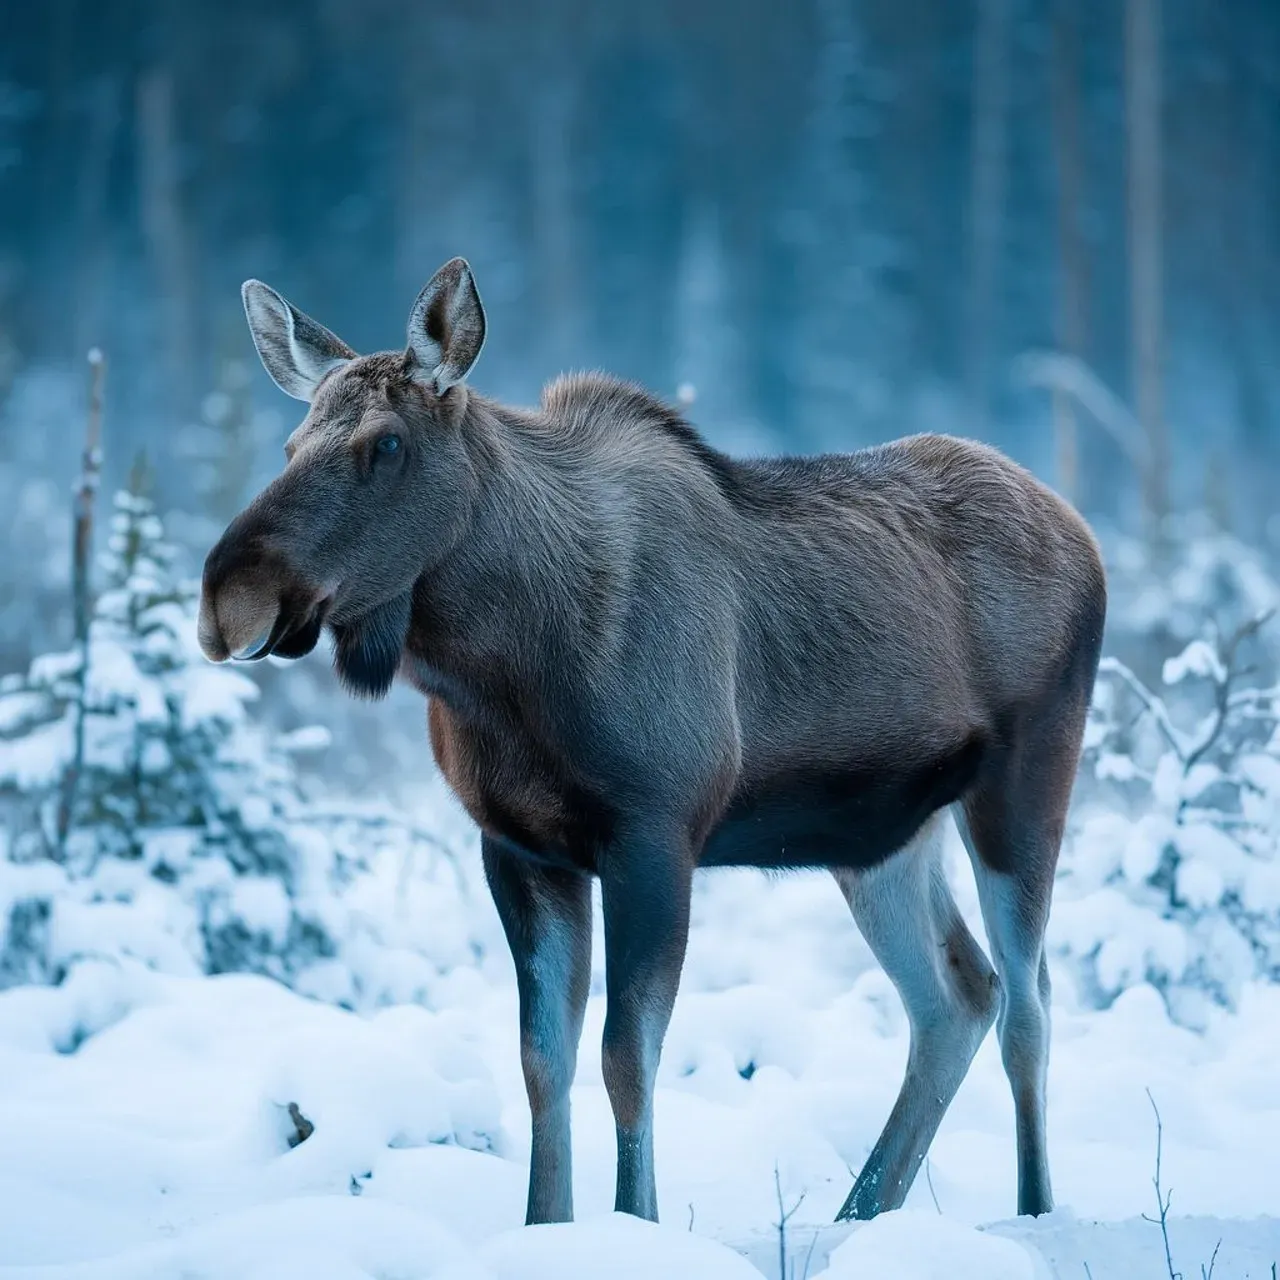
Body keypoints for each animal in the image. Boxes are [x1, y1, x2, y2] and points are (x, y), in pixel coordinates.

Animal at [198, 256, 1107, 1227]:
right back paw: (861, 1213)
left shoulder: (654, 834)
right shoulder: (519, 846)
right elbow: (542, 1061)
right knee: (956, 997)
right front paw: (545, 1226)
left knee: (1027, 1005)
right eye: (292, 446)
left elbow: (626, 1058)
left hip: (1026, 779)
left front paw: (637, 1223)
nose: (228, 598)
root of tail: (1083, 533)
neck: (499, 664)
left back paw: (1033, 1210)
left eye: (387, 444)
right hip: (880, 834)